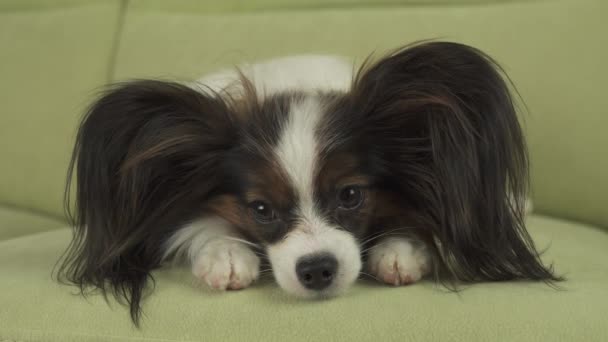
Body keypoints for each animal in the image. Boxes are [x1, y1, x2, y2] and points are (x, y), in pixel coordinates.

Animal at [58, 41, 560, 324]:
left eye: (351, 195)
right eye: (261, 209)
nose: (317, 270)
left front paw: (401, 248)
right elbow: (201, 224)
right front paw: (224, 253)